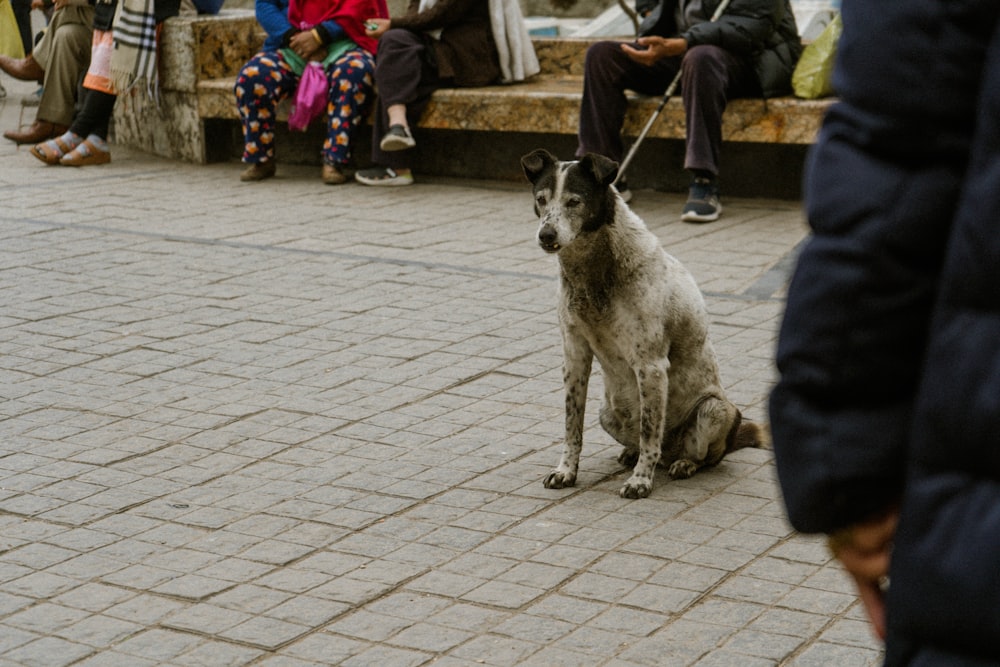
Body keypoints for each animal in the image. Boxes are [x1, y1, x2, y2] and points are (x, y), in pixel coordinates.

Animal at [520, 149, 760, 498]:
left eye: (574, 201)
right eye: (541, 199)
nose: (546, 235)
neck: (592, 272)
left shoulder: (650, 365)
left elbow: (650, 431)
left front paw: (640, 481)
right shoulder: (574, 357)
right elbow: (571, 426)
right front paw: (566, 471)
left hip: (715, 410)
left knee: (699, 455)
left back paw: (682, 464)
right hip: (607, 413)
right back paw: (631, 453)